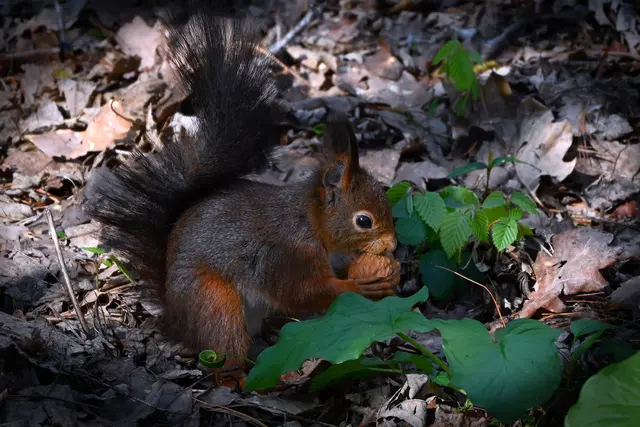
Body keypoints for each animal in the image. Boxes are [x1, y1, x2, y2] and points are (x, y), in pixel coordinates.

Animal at [84, 8, 400, 372]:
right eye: (364, 221)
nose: (393, 246)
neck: (310, 223)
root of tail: (177, 320)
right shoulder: (288, 255)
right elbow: (303, 292)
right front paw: (364, 284)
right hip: (214, 300)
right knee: (226, 354)